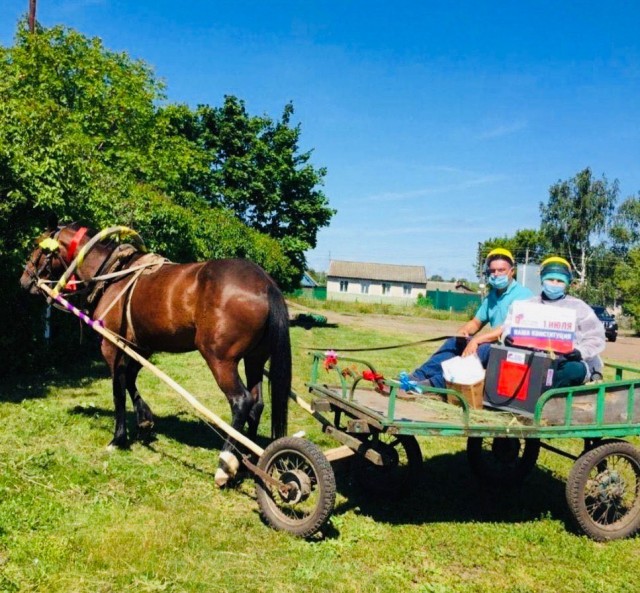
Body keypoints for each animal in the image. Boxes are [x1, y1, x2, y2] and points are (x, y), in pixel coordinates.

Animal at [18, 220, 292, 484]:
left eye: (38, 248)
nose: (24, 280)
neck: (112, 275)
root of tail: (266, 284)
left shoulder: (111, 346)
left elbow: (118, 390)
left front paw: (118, 438)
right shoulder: (142, 347)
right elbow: (130, 379)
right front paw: (144, 419)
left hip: (220, 359)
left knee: (241, 401)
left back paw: (226, 463)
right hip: (255, 358)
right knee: (257, 403)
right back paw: (248, 460)